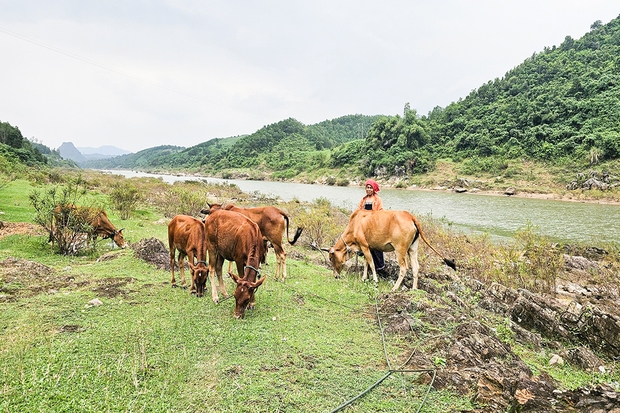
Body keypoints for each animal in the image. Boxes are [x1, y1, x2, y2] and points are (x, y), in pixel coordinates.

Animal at [324, 209, 456, 290]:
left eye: (330, 258)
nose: (335, 276)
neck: (355, 224)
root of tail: (410, 216)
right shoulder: (367, 247)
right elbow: (367, 263)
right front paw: (364, 278)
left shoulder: (364, 246)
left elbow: (371, 264)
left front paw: (375, 280)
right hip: (412, 249)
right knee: (415, 267)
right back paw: (414, 289)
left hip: (400, 250)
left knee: (404, 268)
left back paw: (394, 288)